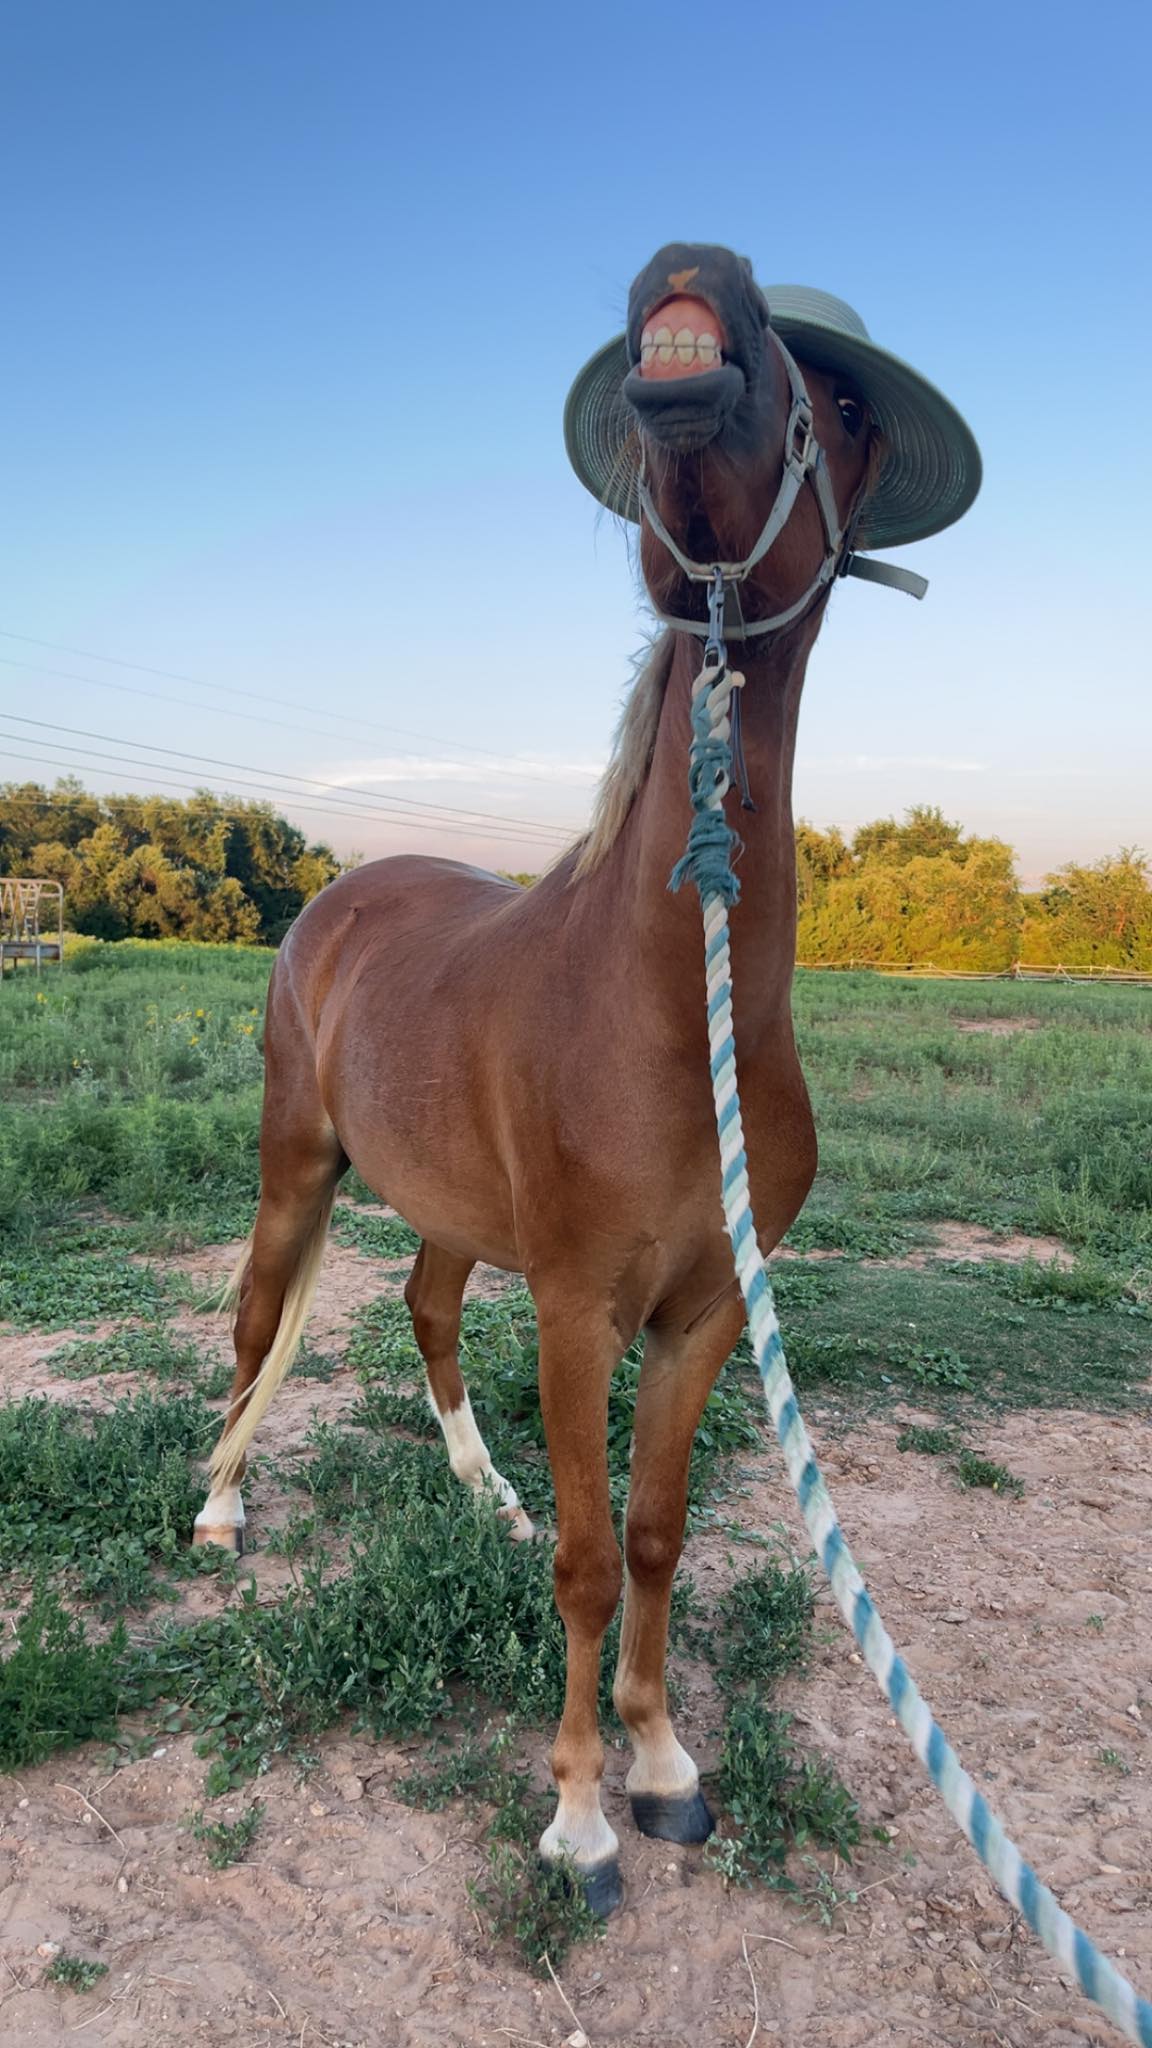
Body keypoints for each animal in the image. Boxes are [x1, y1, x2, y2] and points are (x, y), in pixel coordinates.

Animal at [193, 242, 912, 1910]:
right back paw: (222, 1504)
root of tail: (336, 894)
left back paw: (484, 1494)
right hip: (294, 1163)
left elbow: (650, 1536)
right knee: (261, 1321)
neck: (666, 1009)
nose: (695, 288)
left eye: (845, 406)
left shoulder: (705, 1314)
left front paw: (660, 1761)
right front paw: (579, 1814)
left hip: (449, 1207)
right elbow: (593, 1562)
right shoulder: (581, 1308)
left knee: (424, 1308)